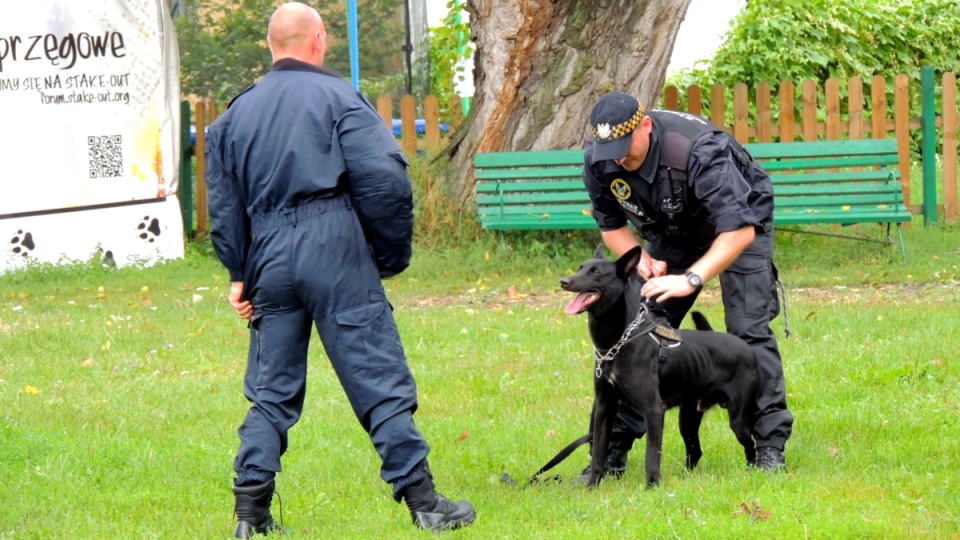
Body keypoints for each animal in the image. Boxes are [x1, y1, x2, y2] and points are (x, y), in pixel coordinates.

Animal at [564, 246, 756, 490]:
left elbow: (651, 454)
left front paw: (652, 487)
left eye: (596, 272)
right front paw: (592, 486)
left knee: (750, 445)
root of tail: (746, 348)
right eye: (581, 268)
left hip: (738, 420)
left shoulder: (654, 410)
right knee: (695, 451)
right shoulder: (604, 407)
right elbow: (598, 451)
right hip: (688, 418)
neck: (617, 343)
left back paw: (755, 470)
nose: (564, 281)